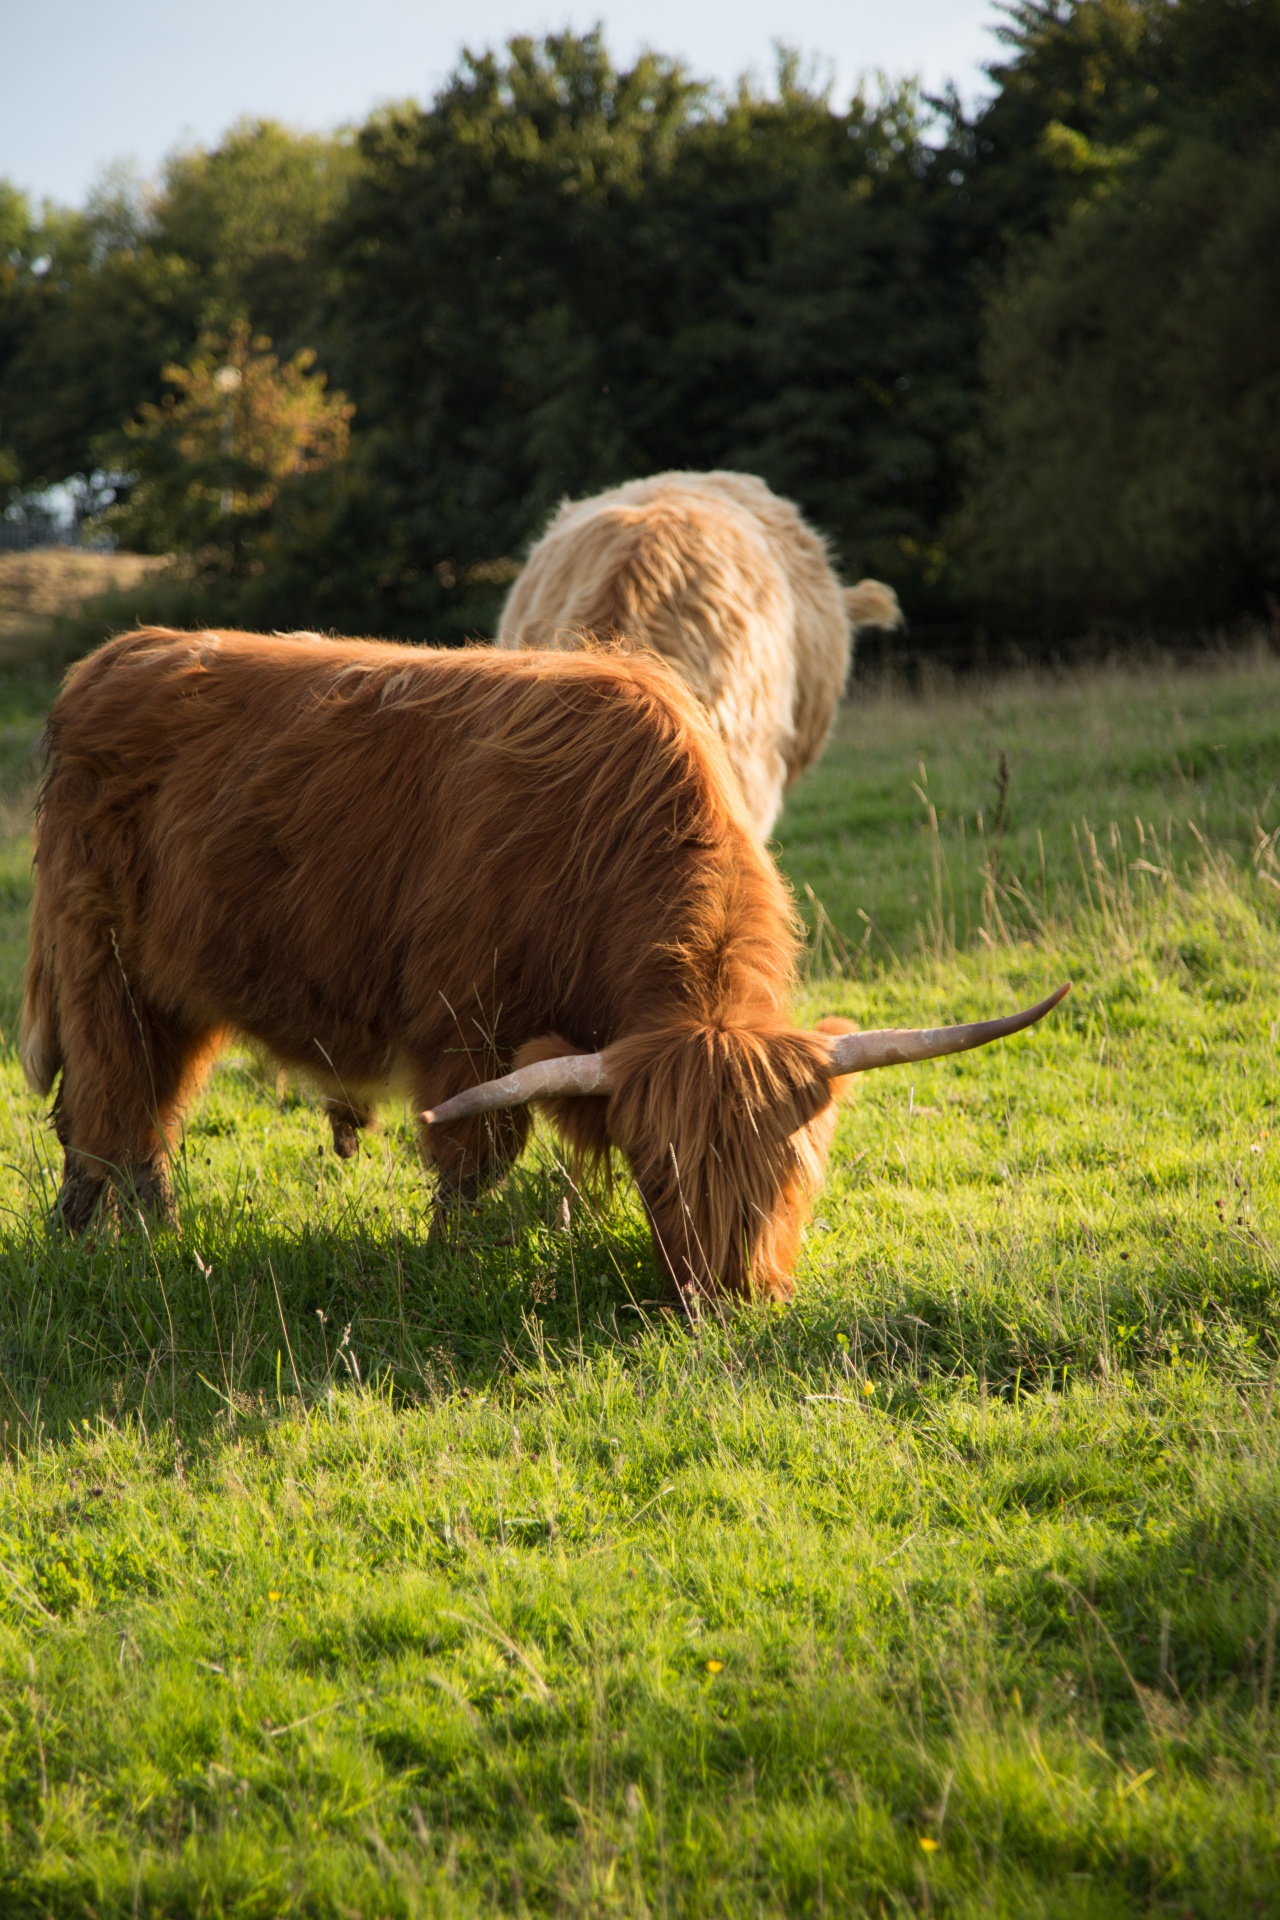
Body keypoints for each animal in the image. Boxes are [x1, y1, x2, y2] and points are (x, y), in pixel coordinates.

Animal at [20, 629, 1066, 1305]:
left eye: (790, 1166)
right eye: (660, 1172)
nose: (735, 1295)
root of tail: (115, 656)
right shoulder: (464, 1025)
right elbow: (470, 1158)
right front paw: (446, 1262)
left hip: (177, 992)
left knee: (146, 1120)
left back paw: (158, 1240)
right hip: (98, 963)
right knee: (104, 1115)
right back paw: (89, 1251)